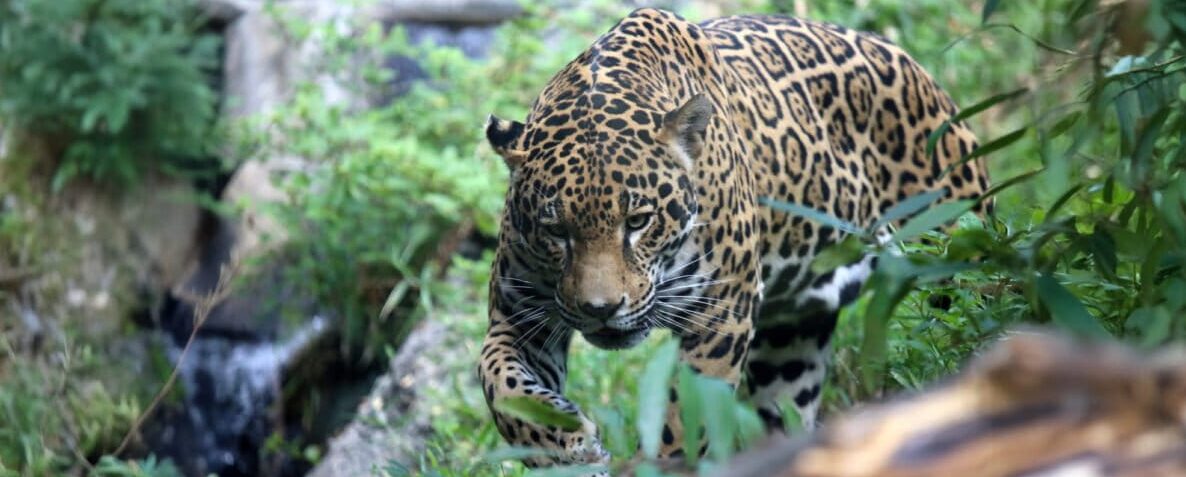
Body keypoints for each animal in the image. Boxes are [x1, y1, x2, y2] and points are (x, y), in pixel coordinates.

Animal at [479, 7, 990, 469]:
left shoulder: (721, 313)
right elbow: (499, 383)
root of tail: (918, 69)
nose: (600, 310)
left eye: (639, 221)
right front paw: (564, 446)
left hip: (958, 259)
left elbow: (685, 417)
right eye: (555, 231)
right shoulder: (520, 314)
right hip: (792, 337)